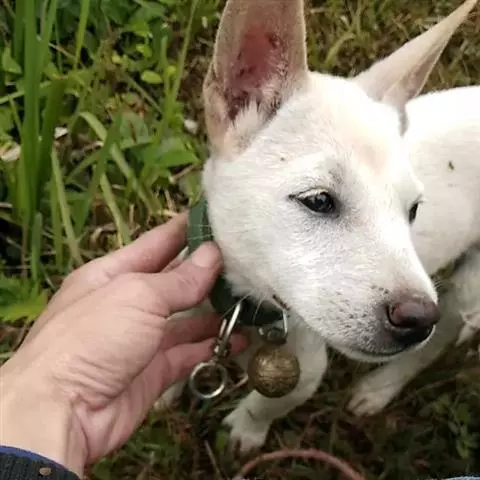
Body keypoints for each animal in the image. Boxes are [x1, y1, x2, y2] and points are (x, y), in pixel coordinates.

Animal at [159, 0, 480, 454]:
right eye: (318, 201)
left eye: (413, 210)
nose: (418, 319)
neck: (244, 307)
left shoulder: (306, 368)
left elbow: (271, 402)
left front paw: (244, 433)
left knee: (446, 327)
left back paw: (379, 388)